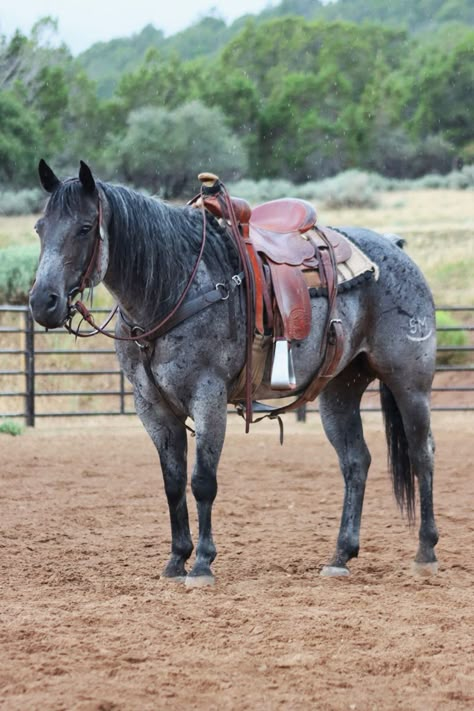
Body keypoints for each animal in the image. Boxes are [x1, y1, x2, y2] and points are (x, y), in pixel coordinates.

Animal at [28, 163, 436, 588]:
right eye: (40, 227)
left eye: (85, 227)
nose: (43, 302)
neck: (171, 287)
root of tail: (395, 248)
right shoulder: (151, 407)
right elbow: (173, 483)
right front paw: (176, 560)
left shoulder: (208, 396)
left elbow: (202, 481)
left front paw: (202, 564)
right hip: (339, 391)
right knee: (356, 462)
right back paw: (340, 555)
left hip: (410, 383)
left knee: (422, 454)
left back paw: (425, 552)